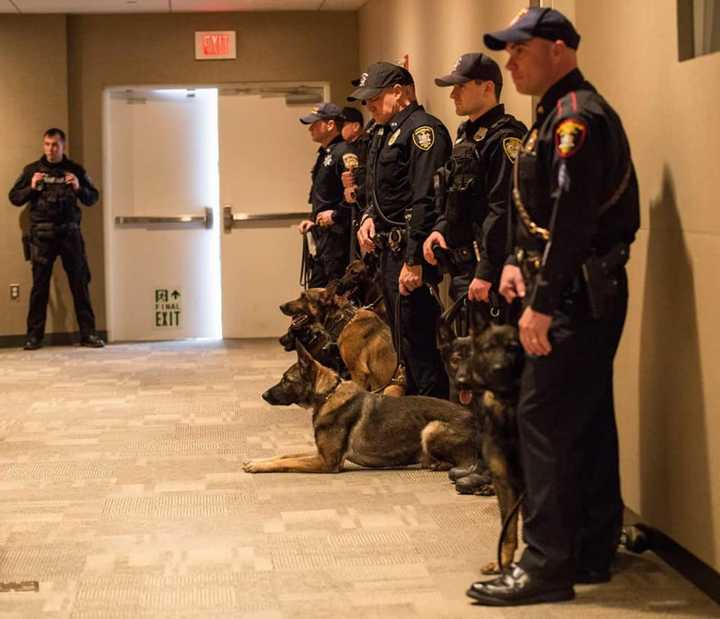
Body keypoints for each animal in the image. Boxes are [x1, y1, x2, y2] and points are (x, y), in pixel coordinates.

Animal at [242, 344, 478, 474]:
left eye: (286, 380)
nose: (263, 395)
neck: (328, 395)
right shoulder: (319, 453)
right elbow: (284, 455)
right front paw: (257, 460)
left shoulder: (327, 462)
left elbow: (289, 462)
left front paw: (258, 467)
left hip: (431, 428)